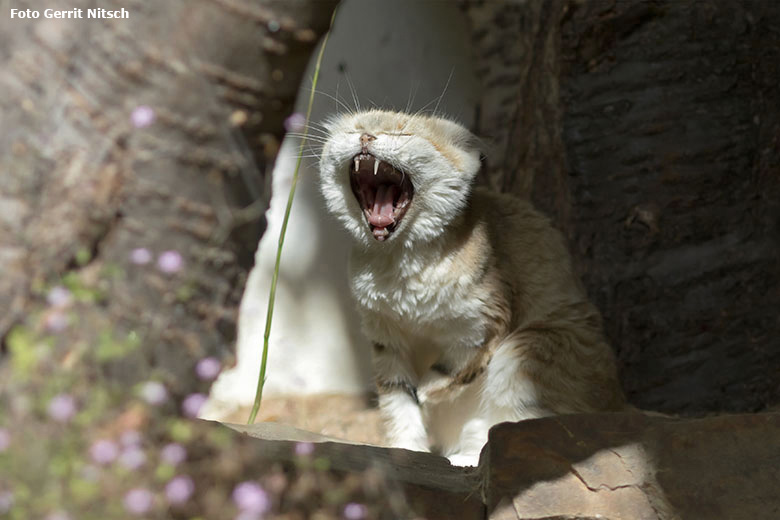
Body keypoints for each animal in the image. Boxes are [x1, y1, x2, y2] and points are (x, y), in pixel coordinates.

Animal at [316, 109, 620, 468]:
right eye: (355, 129)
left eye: (402, 133)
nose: (366, 138)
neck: (399, 261)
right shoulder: (387, 340)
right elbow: (399, 402)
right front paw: (405, 451)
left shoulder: (484, 324)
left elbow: (451, 370)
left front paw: (428, 391)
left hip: (526, 350)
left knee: (511, 429)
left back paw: (468, 457)